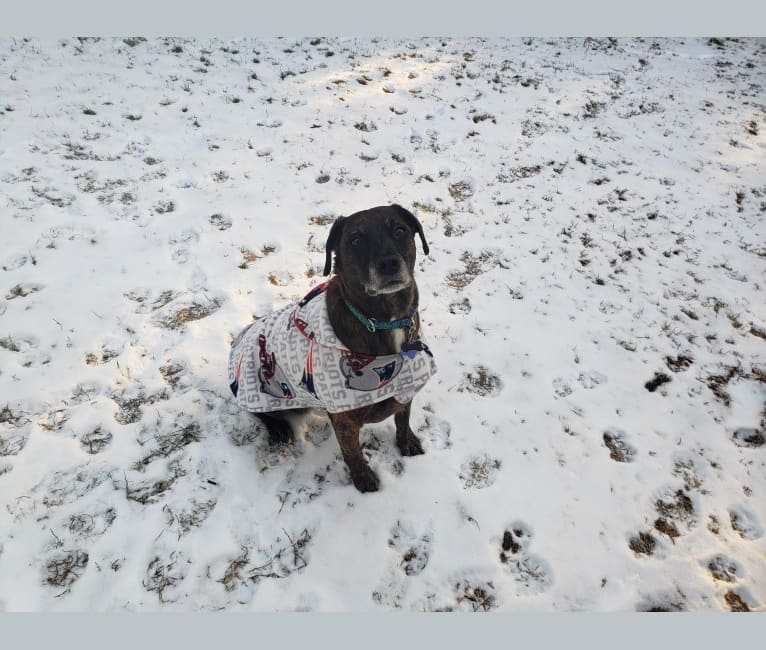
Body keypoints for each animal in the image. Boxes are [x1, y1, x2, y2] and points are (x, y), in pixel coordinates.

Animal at [230, 205, 438, 488]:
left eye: (399, 230)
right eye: (355, 240)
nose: (388, 263)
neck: (382, 320)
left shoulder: (406, 388)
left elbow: (402, 418)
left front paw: (407, 442)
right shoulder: (345, 420)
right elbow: (353, 452)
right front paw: (363, 479)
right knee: (259, 412)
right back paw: (278, 429)